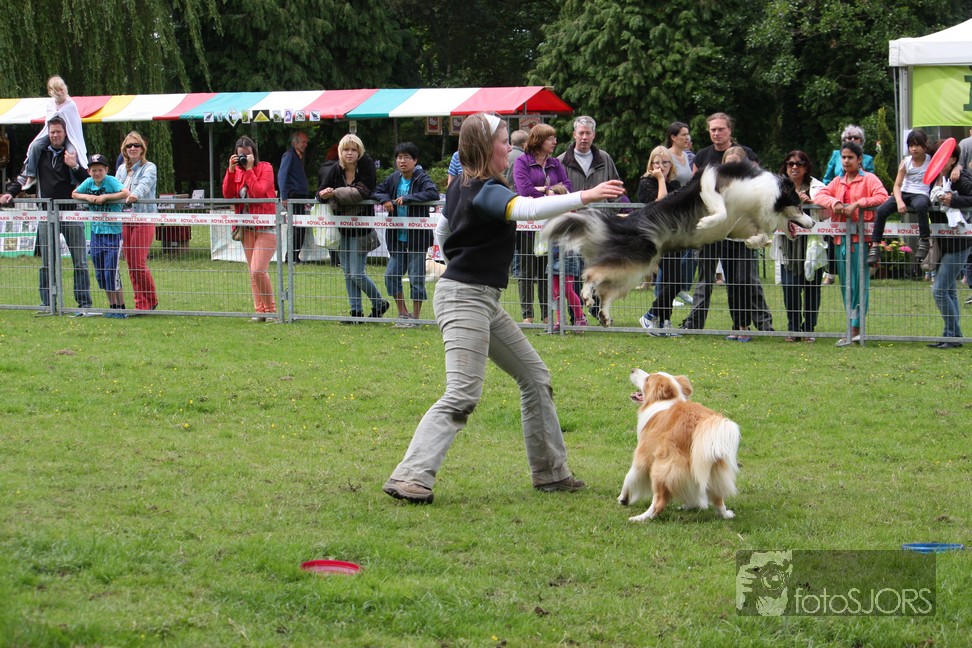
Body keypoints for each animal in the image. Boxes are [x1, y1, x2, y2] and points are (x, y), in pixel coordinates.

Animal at [541, 163, 814, 326]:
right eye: (800, 205)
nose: (812, 223)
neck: (768, 195)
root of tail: (626, 221)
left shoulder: (741, 225)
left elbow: (758, 236)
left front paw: (752, 242)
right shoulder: (711, 183)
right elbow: (721, 210)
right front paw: (705, 222)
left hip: (634, 269)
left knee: (606, 291)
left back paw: (605, 314)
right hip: (636, 258)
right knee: (591, 274)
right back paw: (587, 295)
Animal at [618, 369, 740, 522]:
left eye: (648, 379)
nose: (633, 370)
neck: (664, 401)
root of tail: (699, 423)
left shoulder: (643, 455)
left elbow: (630, 477)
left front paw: (623, 498)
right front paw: (694, 504)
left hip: (662, 467)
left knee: (658, 503)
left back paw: (640, 518)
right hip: (711, 468)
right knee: (718, 498)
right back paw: (725, 513)